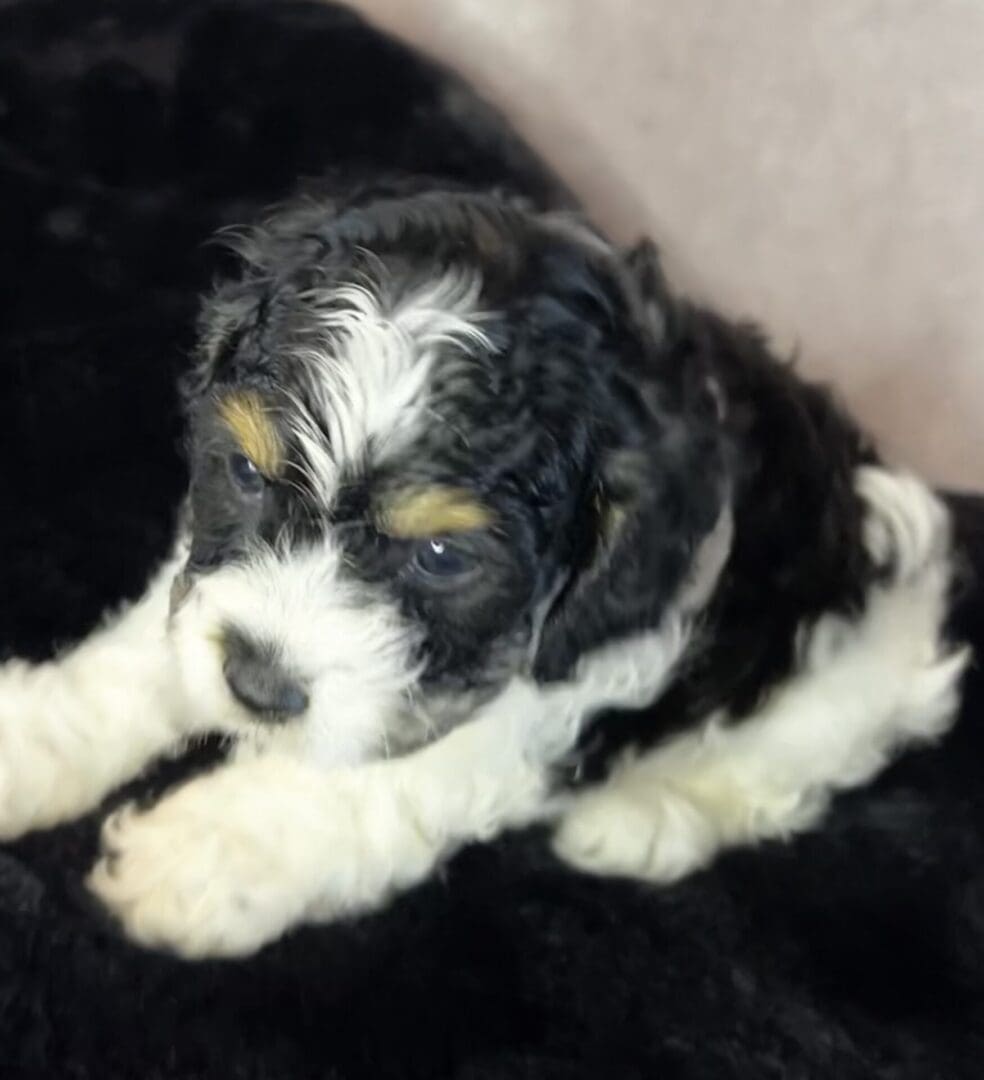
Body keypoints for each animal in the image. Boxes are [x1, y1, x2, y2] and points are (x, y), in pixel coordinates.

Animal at [0, 185, 967, 963]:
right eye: (243, 471)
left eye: (442, 556)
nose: (257, 688)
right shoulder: (207, 579)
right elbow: (144, 658)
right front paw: (33, 742)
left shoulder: (546, 694)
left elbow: (367, 785)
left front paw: (205, 854)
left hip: (835, 693)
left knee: (772, 780)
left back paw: (635, 825)